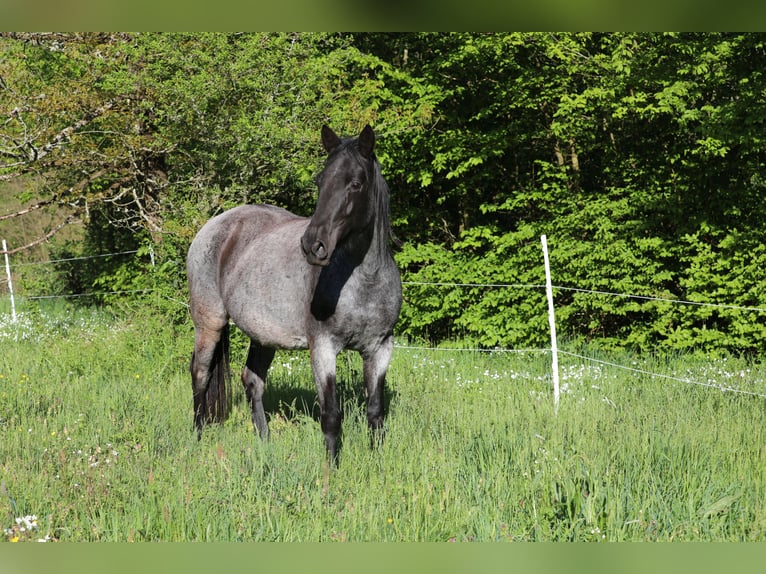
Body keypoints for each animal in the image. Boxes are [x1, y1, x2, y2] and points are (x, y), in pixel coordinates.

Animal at [186, 124, 402, 463]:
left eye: (355, 184)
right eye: (320, 181)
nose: (313, 245)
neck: (364, 282)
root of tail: (213, 225)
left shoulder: (380, 348)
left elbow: (376, 411)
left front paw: (377, 462)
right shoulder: (323, 348)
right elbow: (331, 415)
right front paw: (331, 469)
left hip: (263, 335)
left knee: (252, 380)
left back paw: (264, 442)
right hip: (209, 322)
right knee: (201, 375)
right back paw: (197, 437)